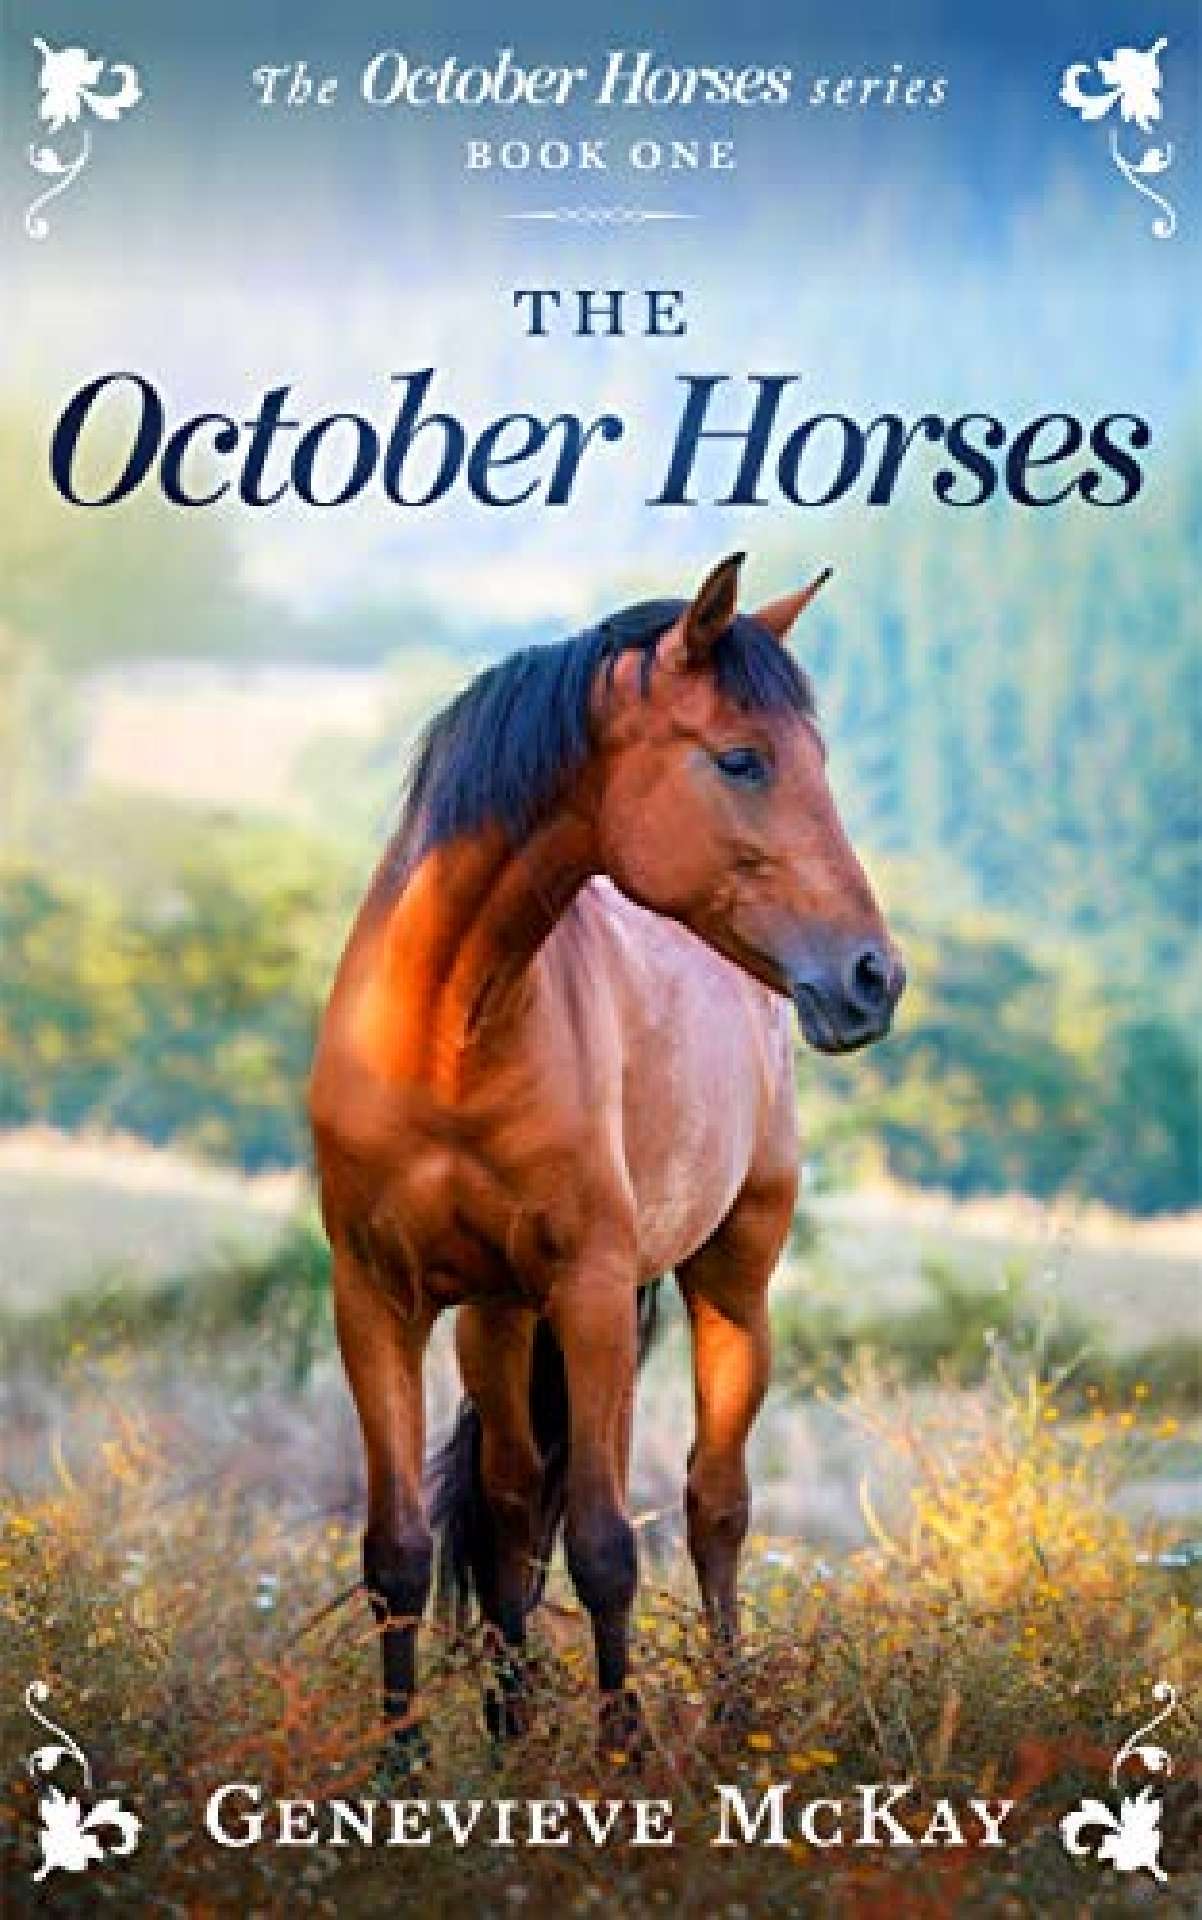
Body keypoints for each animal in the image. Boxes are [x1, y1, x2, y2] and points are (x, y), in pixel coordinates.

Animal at [308, 552, 904, 1760]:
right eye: (740, 758)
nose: (873, 977)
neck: (447, 1035)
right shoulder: (374, 1297)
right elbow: (399, 1552)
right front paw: (400, 1770)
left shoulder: (589, 1292)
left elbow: (604, 1548)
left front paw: (620, 1759)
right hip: (496, 1316)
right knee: (504, 1505)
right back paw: (508, 1732)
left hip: (729, 1279)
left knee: (714, 1506)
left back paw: (728, 1722)